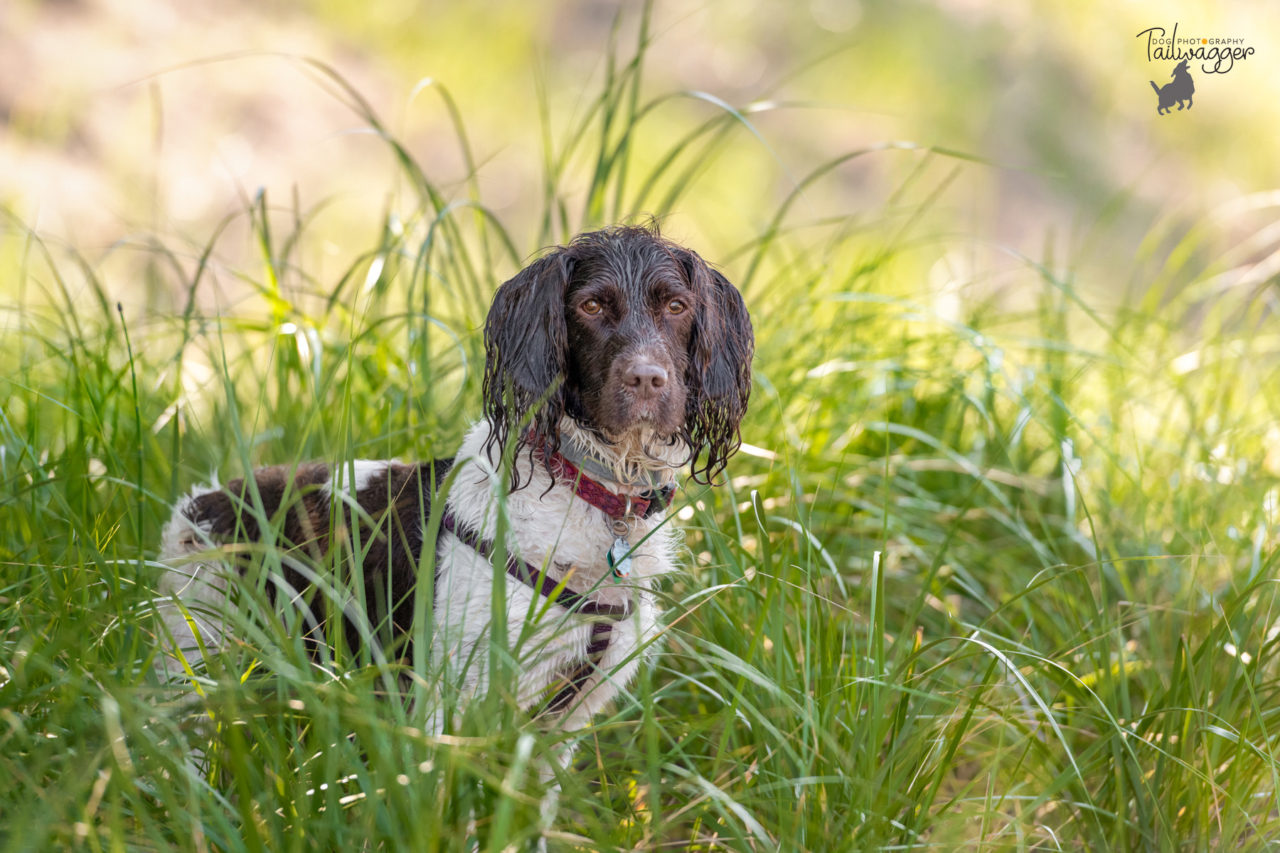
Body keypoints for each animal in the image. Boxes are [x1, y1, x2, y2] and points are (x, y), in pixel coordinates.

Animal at [152, 224, 747, 737]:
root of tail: (203, 503)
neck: (592, 497)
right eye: (592, 305)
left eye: (676, 307)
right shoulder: (448, 695)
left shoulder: (563, 721)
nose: (647, 379)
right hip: (195, 659)